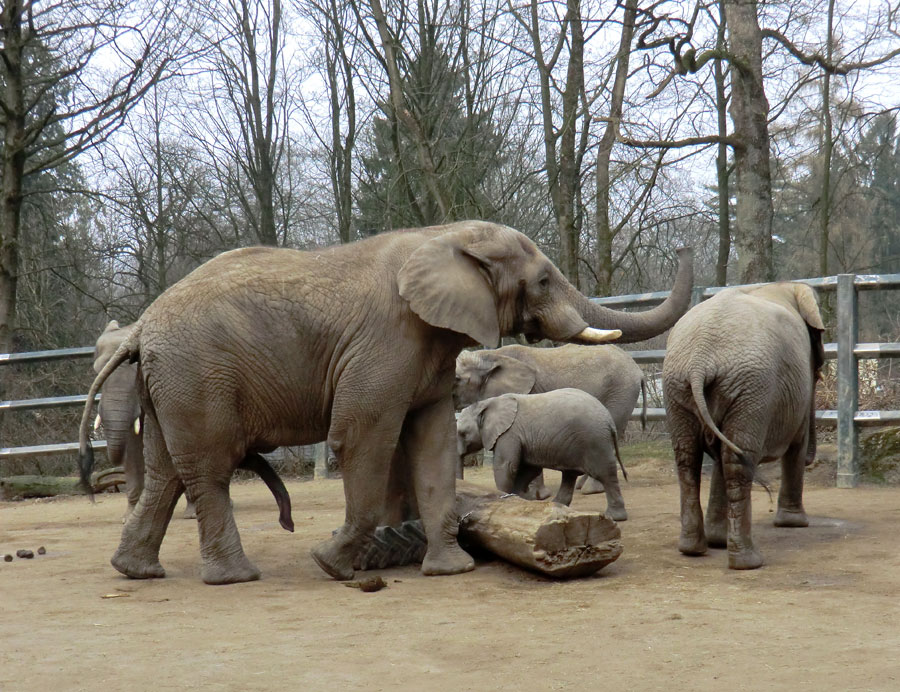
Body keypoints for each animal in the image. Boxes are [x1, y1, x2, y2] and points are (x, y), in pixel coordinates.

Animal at [458, 344, 640, 494]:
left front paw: (536, 495)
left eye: (457, 379)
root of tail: (637, 368)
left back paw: (590, 490)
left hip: (620, 393)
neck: (490, 356)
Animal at [458, 390, 624, 520]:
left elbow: (506, 467)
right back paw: (557, 505)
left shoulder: (509, 433)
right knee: (569, 475)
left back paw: (615, 517)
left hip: (594, 440)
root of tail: (609, 421)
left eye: (462, 433)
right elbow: (528, 469)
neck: (486, 403)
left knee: (605, 474)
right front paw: (520, 501)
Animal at [660, 278, 824, 572]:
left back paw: (693, 548)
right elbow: (796, 442)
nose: (812, 460)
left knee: (690, 459)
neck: (786, 285)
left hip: (677, 386)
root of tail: (700, 360)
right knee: (738, 461)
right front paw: (794, 524)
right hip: (752, 389)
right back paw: (748, 561)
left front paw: (717, 539)